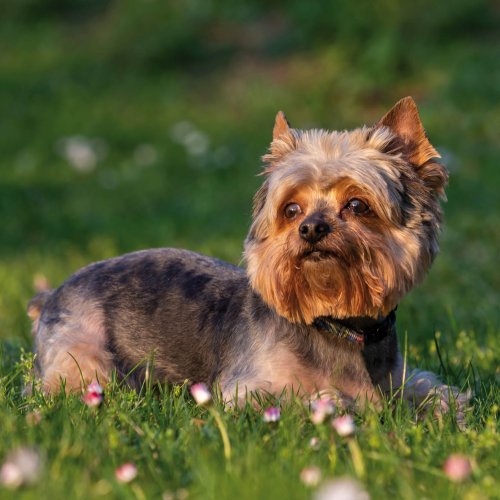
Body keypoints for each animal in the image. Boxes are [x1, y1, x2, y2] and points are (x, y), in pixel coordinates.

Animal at [28, 97, 468, 422]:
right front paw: (344, 404)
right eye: (291, 209)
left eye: (358, 205)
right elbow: (308, 398)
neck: (337, 326)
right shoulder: (246, 393)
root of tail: (51, 294)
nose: (311, 228)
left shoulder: (400, 378)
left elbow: (438, 395)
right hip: (85, 360)